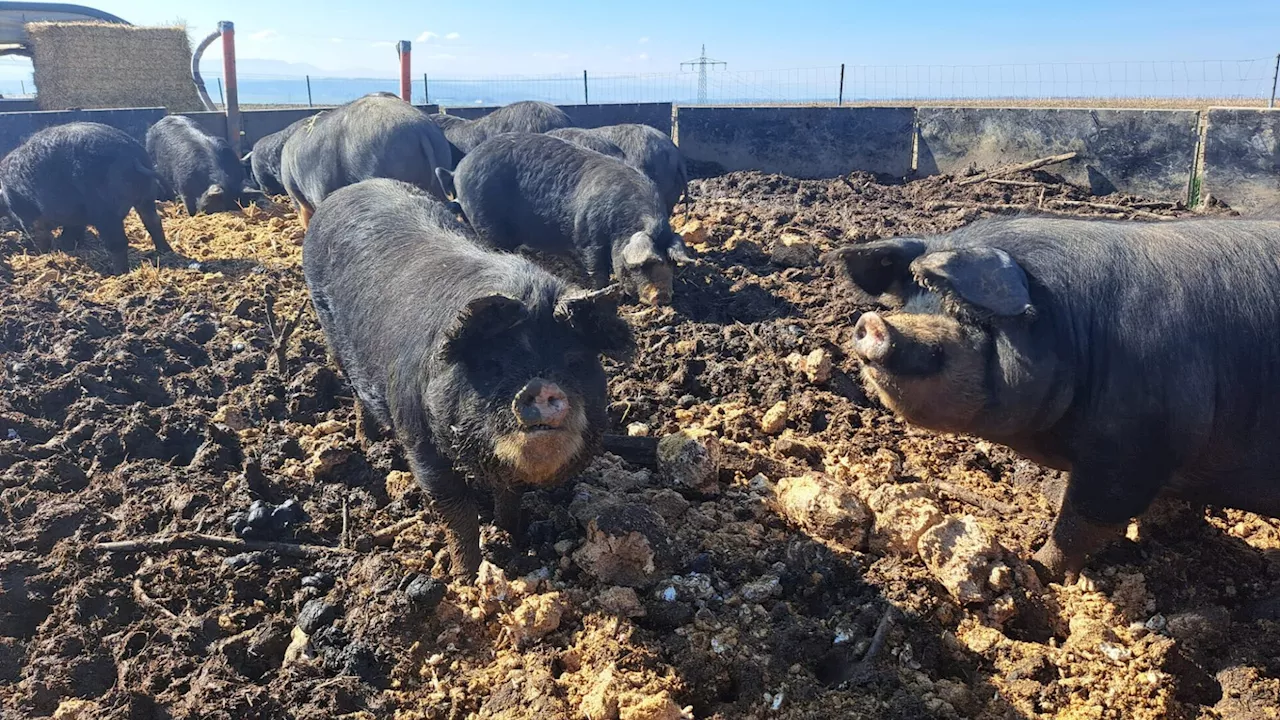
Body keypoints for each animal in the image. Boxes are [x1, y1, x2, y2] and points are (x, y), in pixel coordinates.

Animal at [0, 120, 171, 271]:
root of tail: (132, 157)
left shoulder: (29, 216)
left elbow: (40, 234)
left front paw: (43, 253)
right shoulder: (75, 216)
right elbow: (72, 230)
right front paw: (66, 246)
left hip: (105, 210)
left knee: (119, 243)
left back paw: (119, 273)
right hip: (147, 196)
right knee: (153, 221)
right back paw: (164, 251)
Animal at [304, 178, 634, 576]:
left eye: (574, 362)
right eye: (492, 365)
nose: (541, 386)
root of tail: (345, 191)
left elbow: (511, 495)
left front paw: (513, 536)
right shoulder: (420, 440)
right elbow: (456, 513)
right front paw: (467, 576)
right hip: (332, 336)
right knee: (354, 392)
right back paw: (368, 442)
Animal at [435, 133, 691, 303]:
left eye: (670, 262)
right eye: (641, 265)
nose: (662, 296)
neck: (621, 225)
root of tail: (457, 171)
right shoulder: (588, 238)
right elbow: (597, 270)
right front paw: (604, 291)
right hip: (486, 221)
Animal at [829, 215, 1280, 579]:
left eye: (964, 313)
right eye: (909, 299)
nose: (873, 322)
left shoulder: (1135, 445)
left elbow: (1081, 522)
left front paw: (1039, 569)